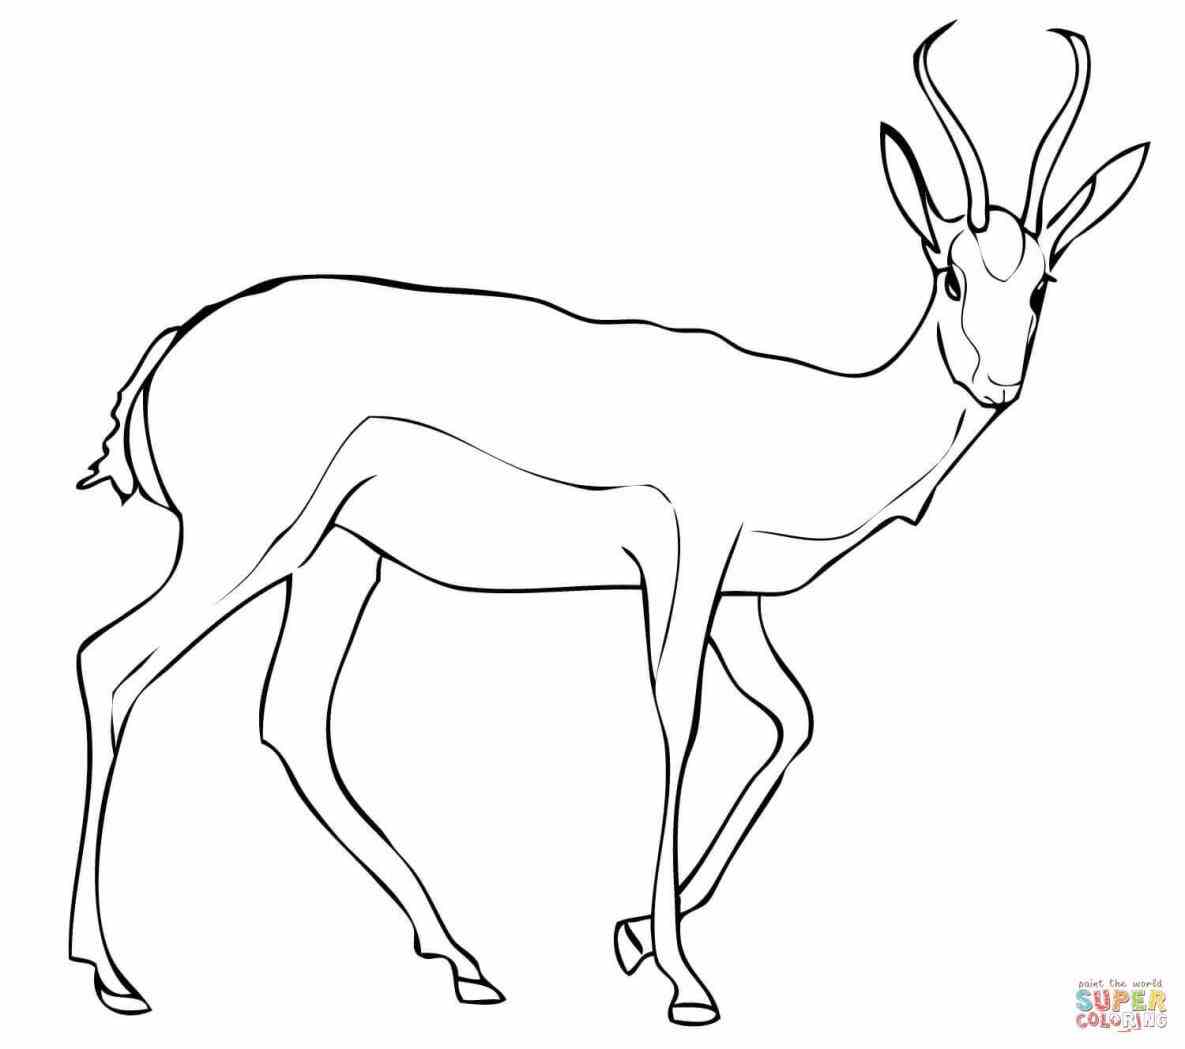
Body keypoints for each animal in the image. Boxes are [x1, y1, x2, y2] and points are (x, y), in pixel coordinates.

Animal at [70, 23, 1147, 1026]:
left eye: (1043, 282)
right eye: (952, 276)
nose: (997, 382)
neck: (809, 422)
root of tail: (173, 344)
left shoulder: (739, 601)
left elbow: (793, 718)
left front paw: (635, 934)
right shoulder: (686, 558)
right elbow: (679, 717)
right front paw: (683, 979)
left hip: (338, 562)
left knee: (290, 718)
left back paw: (464, 960)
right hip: (247, 543)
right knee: (109, 662)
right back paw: (113, 973)